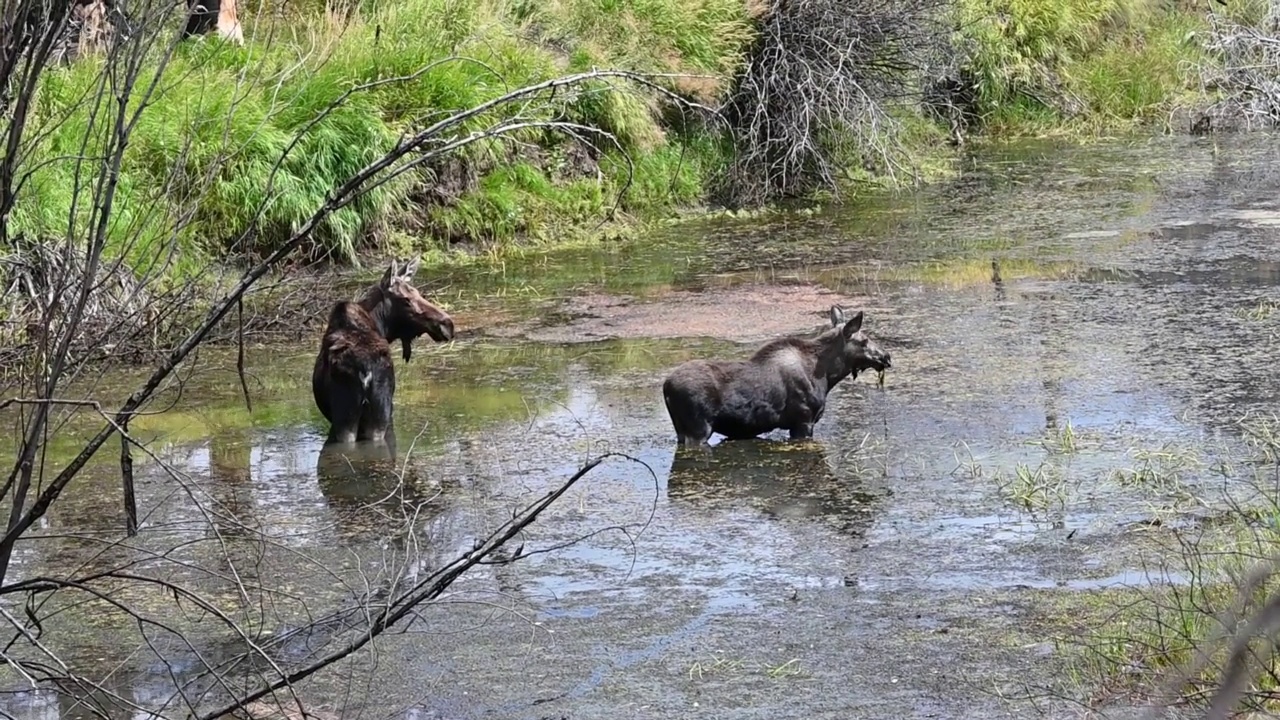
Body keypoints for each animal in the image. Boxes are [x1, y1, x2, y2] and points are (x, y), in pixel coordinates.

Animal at [312, 252, 458, 443]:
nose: (447, 324)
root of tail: (365, 369)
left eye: (417, 293)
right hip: (375, 416)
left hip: (354, 419)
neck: (380, 326)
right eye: (406, 300)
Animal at [660, 307, 890, 445]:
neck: (827, 376)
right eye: (864, 340)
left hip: (681, 430)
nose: (886, 356)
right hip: (698, 429)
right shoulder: (803, 421)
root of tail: (666, 387)